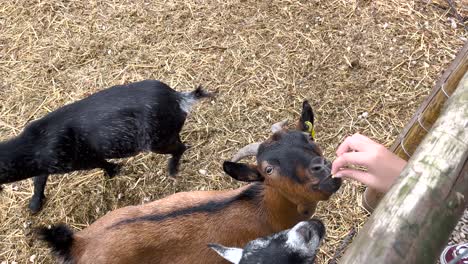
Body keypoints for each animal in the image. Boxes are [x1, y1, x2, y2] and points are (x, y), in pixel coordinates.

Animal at [0, 79, 212, 213]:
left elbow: (103, 163)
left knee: (181, 147)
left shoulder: (77, 159)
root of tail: (179, 98)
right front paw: (34, 207)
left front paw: (113, 172)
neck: (35, 144)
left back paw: (172, 171)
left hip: (158, 141)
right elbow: (39, 179)